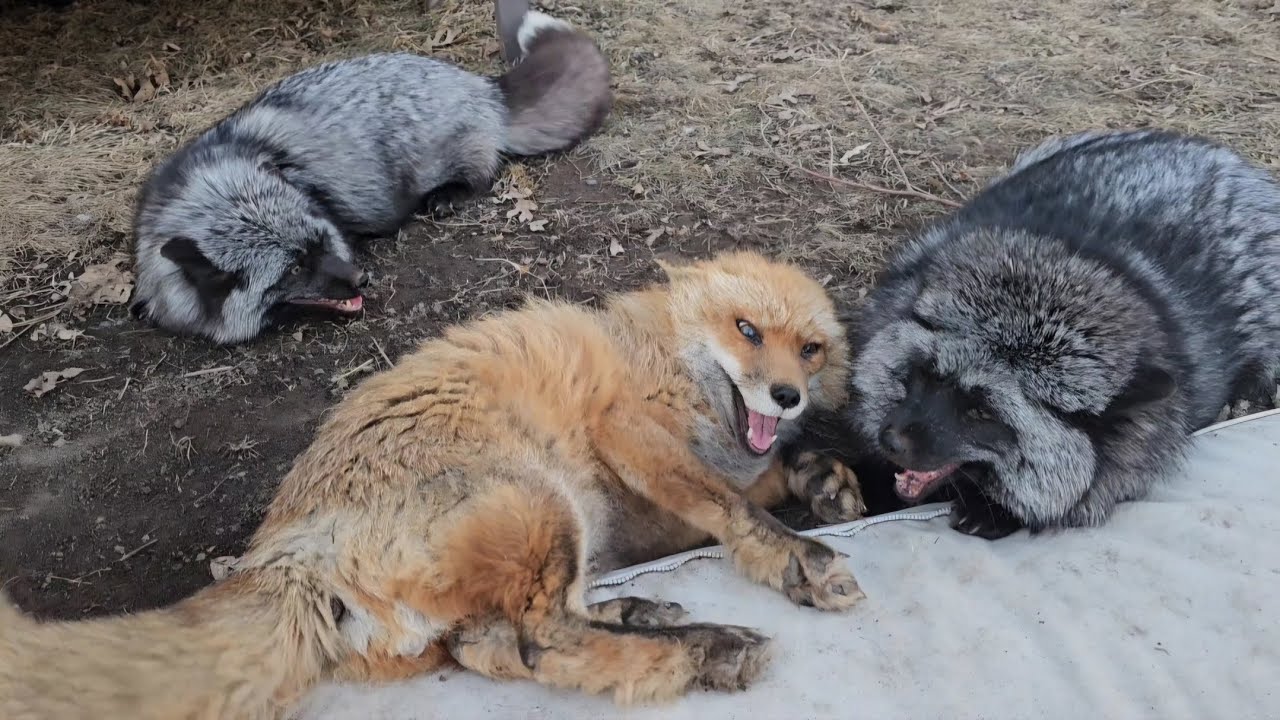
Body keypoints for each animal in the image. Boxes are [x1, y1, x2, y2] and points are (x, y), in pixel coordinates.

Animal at [1, 251, 862, 719]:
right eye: (747, 330)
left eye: (811, 349)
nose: (786, 396)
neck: (664, 356)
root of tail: (285, 546)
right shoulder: (628, 432)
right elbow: (731, 506)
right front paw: (803, 559)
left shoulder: (641, 512)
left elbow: (755, 486)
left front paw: (820, 479)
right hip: (543, 500)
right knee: (544, 638)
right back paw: (703, 649)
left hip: (537, 544)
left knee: (505, 646)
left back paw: (645, 619)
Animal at [128, 0, 611, 345]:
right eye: (293, 269)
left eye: (320, 243)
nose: (363, 278)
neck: (208, 184)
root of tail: (482, 86)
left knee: (485, 170)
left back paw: (449, 194)